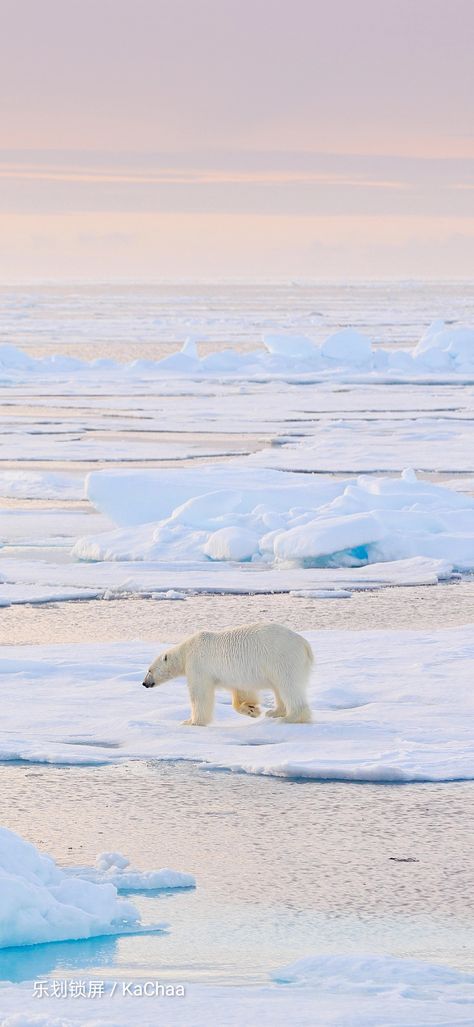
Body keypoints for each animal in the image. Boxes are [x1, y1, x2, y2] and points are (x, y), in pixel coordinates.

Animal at [141, 620, 311, 727]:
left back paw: (290, 717)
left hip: (281, 657)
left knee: (288, 686)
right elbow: (242, 692)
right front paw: (251, 709)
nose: (144, 683)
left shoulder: (198, 665)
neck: (186, 650)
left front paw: (191, 721)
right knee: (279, 688)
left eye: (149, 670)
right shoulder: (236, 674)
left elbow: (200, 695)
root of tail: (304, 644)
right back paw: (274, 712)